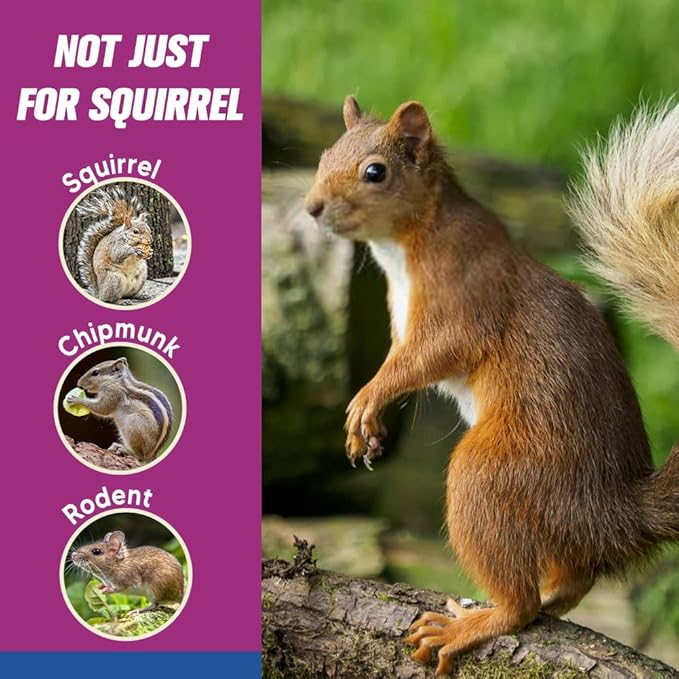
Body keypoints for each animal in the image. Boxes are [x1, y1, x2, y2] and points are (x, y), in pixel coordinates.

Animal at [304, 97, 679, 676]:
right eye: (325, 155)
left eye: (375, 171)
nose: (313, 207)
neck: (409, 243)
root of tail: (613, 511)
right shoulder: (401, 327)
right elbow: (397, 361)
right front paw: (367, 424)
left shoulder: (465, 301)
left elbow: (427, 358)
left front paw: (366, 403)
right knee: (577, 577)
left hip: (489, 473)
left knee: (520, 605)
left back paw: (472, 624)